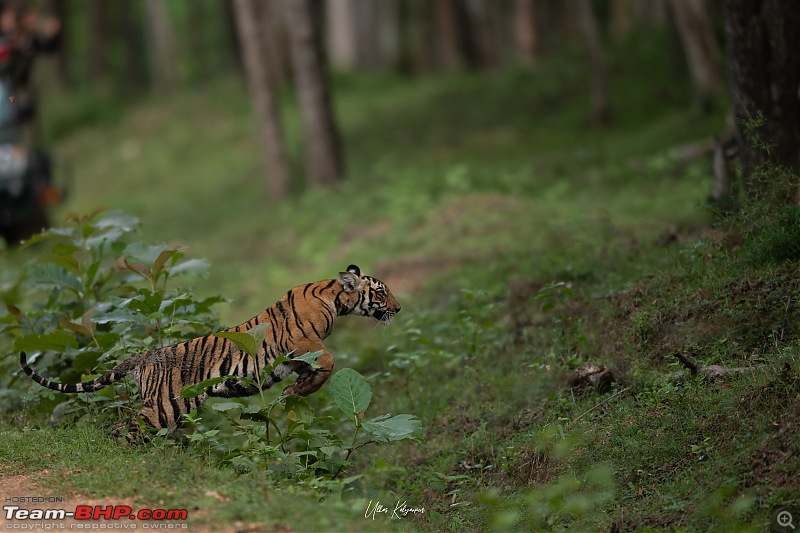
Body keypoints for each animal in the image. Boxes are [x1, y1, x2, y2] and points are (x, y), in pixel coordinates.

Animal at [20, 264, 400, 438]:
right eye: (381, 293)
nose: (398, 308)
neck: (336, 299)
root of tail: (147, 355)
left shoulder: (294, 358)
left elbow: (314, 375)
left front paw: (294, 391)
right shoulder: (302, 343)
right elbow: (330, 361)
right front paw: (297, 390)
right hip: (164, 407)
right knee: (123, 431)